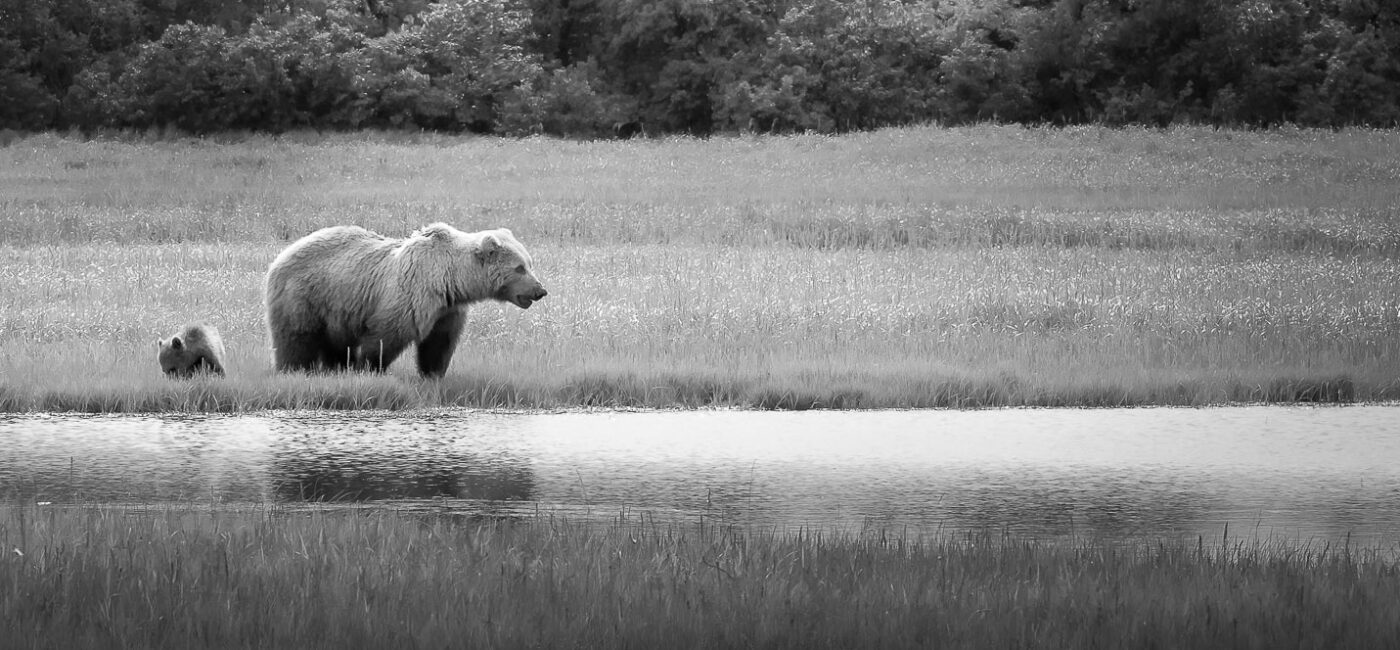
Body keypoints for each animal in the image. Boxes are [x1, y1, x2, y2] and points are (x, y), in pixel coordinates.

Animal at [263, 222, 546, 375]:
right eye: (520, 268)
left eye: (529, 263)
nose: (540, 290)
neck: (451, 279)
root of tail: (281, 255)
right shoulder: (410, 296)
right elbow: (385, 338)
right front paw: (369, 369)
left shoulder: (447, 309)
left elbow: (439, 344)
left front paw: (433, 374)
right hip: (304, 296)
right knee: (296, 340)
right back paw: (294, 370)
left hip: (337, 309)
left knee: (335, 345)